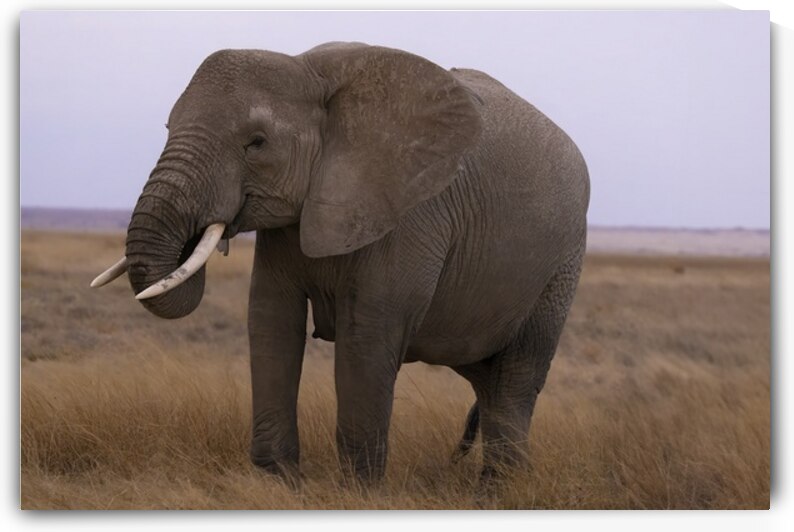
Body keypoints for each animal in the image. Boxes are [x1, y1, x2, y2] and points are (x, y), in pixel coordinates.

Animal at [92, 42, 590, 485]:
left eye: (256, 143)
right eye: (167, 127)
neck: (310, 69)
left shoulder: (409, 209)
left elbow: (366, 334)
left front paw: (358, 489)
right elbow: (271, 318)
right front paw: (278, 480)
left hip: (562, 264)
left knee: (515, 379)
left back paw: (501, 490)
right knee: (486, 379)